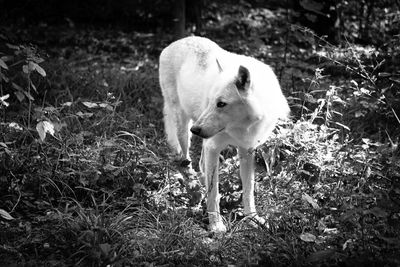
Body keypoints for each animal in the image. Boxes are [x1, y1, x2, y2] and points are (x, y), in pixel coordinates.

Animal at [159, 36, 288, 232]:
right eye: (211, 101)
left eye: (221, 104)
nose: (196, 129)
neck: (242, 126)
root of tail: (177, 42)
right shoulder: (213, 146)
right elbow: (214, 192)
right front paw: (216, 225)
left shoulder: (247, 150)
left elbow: (248, 189)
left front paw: (252, 218)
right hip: (183, 127)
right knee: (186, 162)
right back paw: (193, 185)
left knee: (200, 163)